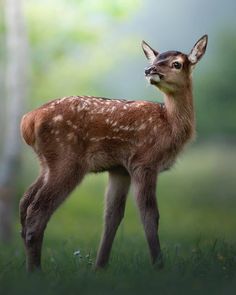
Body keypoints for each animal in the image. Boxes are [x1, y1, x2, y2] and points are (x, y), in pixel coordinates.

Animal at [20, 35, 208, 272]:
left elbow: (112, 217)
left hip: (46, 164)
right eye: (156, 59)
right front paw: (159, 266)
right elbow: (150, 215)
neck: (169, 125)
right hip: (66, 158)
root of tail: (28, 120)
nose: (149, 70)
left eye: (177, 64)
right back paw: (35, 271)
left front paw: (100, 266)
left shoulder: (120, 169)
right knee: (36, 211)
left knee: (24, 202)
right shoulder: (144, 161)